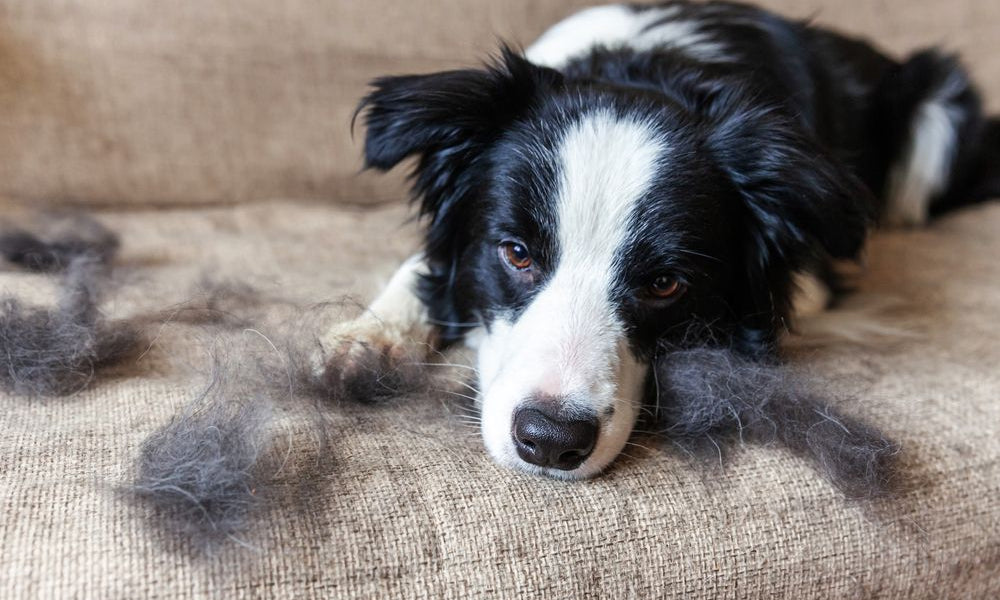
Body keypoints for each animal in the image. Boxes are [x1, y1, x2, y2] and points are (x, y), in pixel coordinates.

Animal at [320, 0, 1000, 478]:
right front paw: (371, 339)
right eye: (515, 253)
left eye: (666, 283)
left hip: (938, 109)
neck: (646, 71)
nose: (551, 442)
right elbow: (423, 267)